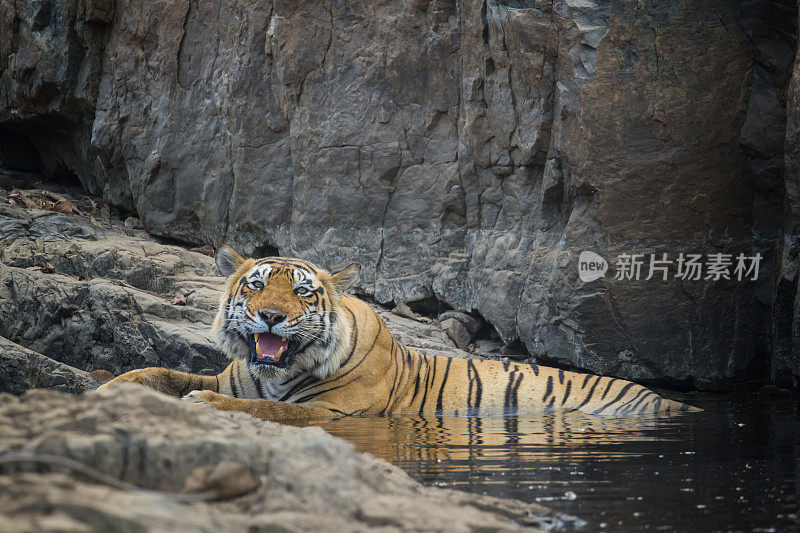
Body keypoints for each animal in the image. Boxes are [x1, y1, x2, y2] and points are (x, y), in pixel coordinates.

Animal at [101, 245, 700, 420]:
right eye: (256, 286)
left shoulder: (334, 411)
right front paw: (108, 386)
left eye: (303, 294)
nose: (271, 317)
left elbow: (268, 410)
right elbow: (158, 371)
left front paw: (204, 404)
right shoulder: (230, 377)